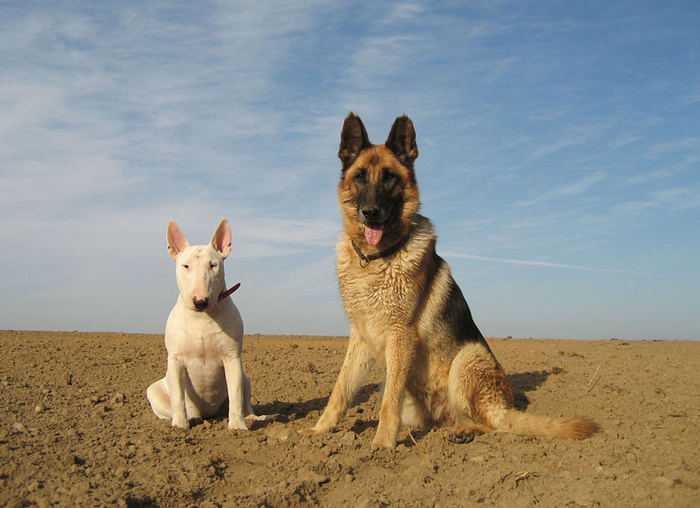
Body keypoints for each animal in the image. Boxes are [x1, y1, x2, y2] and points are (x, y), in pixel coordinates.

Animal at [147, 218, 263, 430]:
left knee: (244, 400)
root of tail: (209, 414)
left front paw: (237, 427)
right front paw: (180, 426)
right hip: (153, 391)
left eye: (213, 265)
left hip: (245, 378)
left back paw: (253, 418)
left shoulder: (232, 358)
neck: (202, 318)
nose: (199, 301)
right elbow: (178, 398)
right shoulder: (175, 360)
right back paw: (190, 418)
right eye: (186, 266)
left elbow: (236, 396)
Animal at [302, 113, 597, 448]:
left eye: (389, 177)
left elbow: (388, 403)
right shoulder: (361, 337)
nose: (370, 213)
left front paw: (382, 445)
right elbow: (340, 390)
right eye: (361, 176)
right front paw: (321, 430)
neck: (376, 259)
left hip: (468, 357)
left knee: (495, 425)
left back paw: (466, 432)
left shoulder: (400, 335)